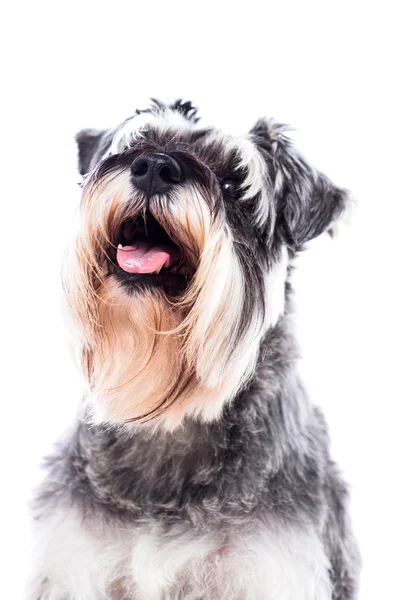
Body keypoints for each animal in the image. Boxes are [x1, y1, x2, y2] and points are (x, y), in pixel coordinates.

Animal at [28, 101, 360, 596]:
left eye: (234, 184)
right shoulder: (74, 565)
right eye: (139, 144)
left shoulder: (267, 573)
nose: (154, 167)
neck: (170, 419)